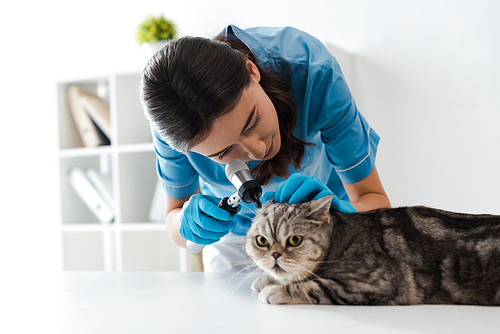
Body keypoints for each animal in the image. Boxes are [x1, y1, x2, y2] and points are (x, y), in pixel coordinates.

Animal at [246, 196, 500, 306]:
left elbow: (311, 287)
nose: (275, 255)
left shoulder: (371, 282)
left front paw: (274, 290)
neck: (339, 238)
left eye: (295, 240)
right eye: (261, 241)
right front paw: (265, 279)